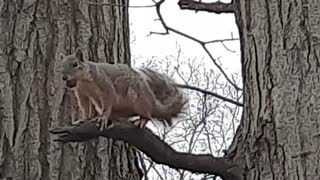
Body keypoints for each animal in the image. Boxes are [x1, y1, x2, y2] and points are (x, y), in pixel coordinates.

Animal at [58, 47, 188, 129]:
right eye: (61, 66)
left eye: (75, 64)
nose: (64, 77)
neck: (84, 82)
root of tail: (152, 101)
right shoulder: (82, 94)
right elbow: (85, 107)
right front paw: (84, 119)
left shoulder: (105, 85)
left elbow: (107, 100)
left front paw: (103, 117)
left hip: (140, 101)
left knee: (148, 115)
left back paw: (142, 120)